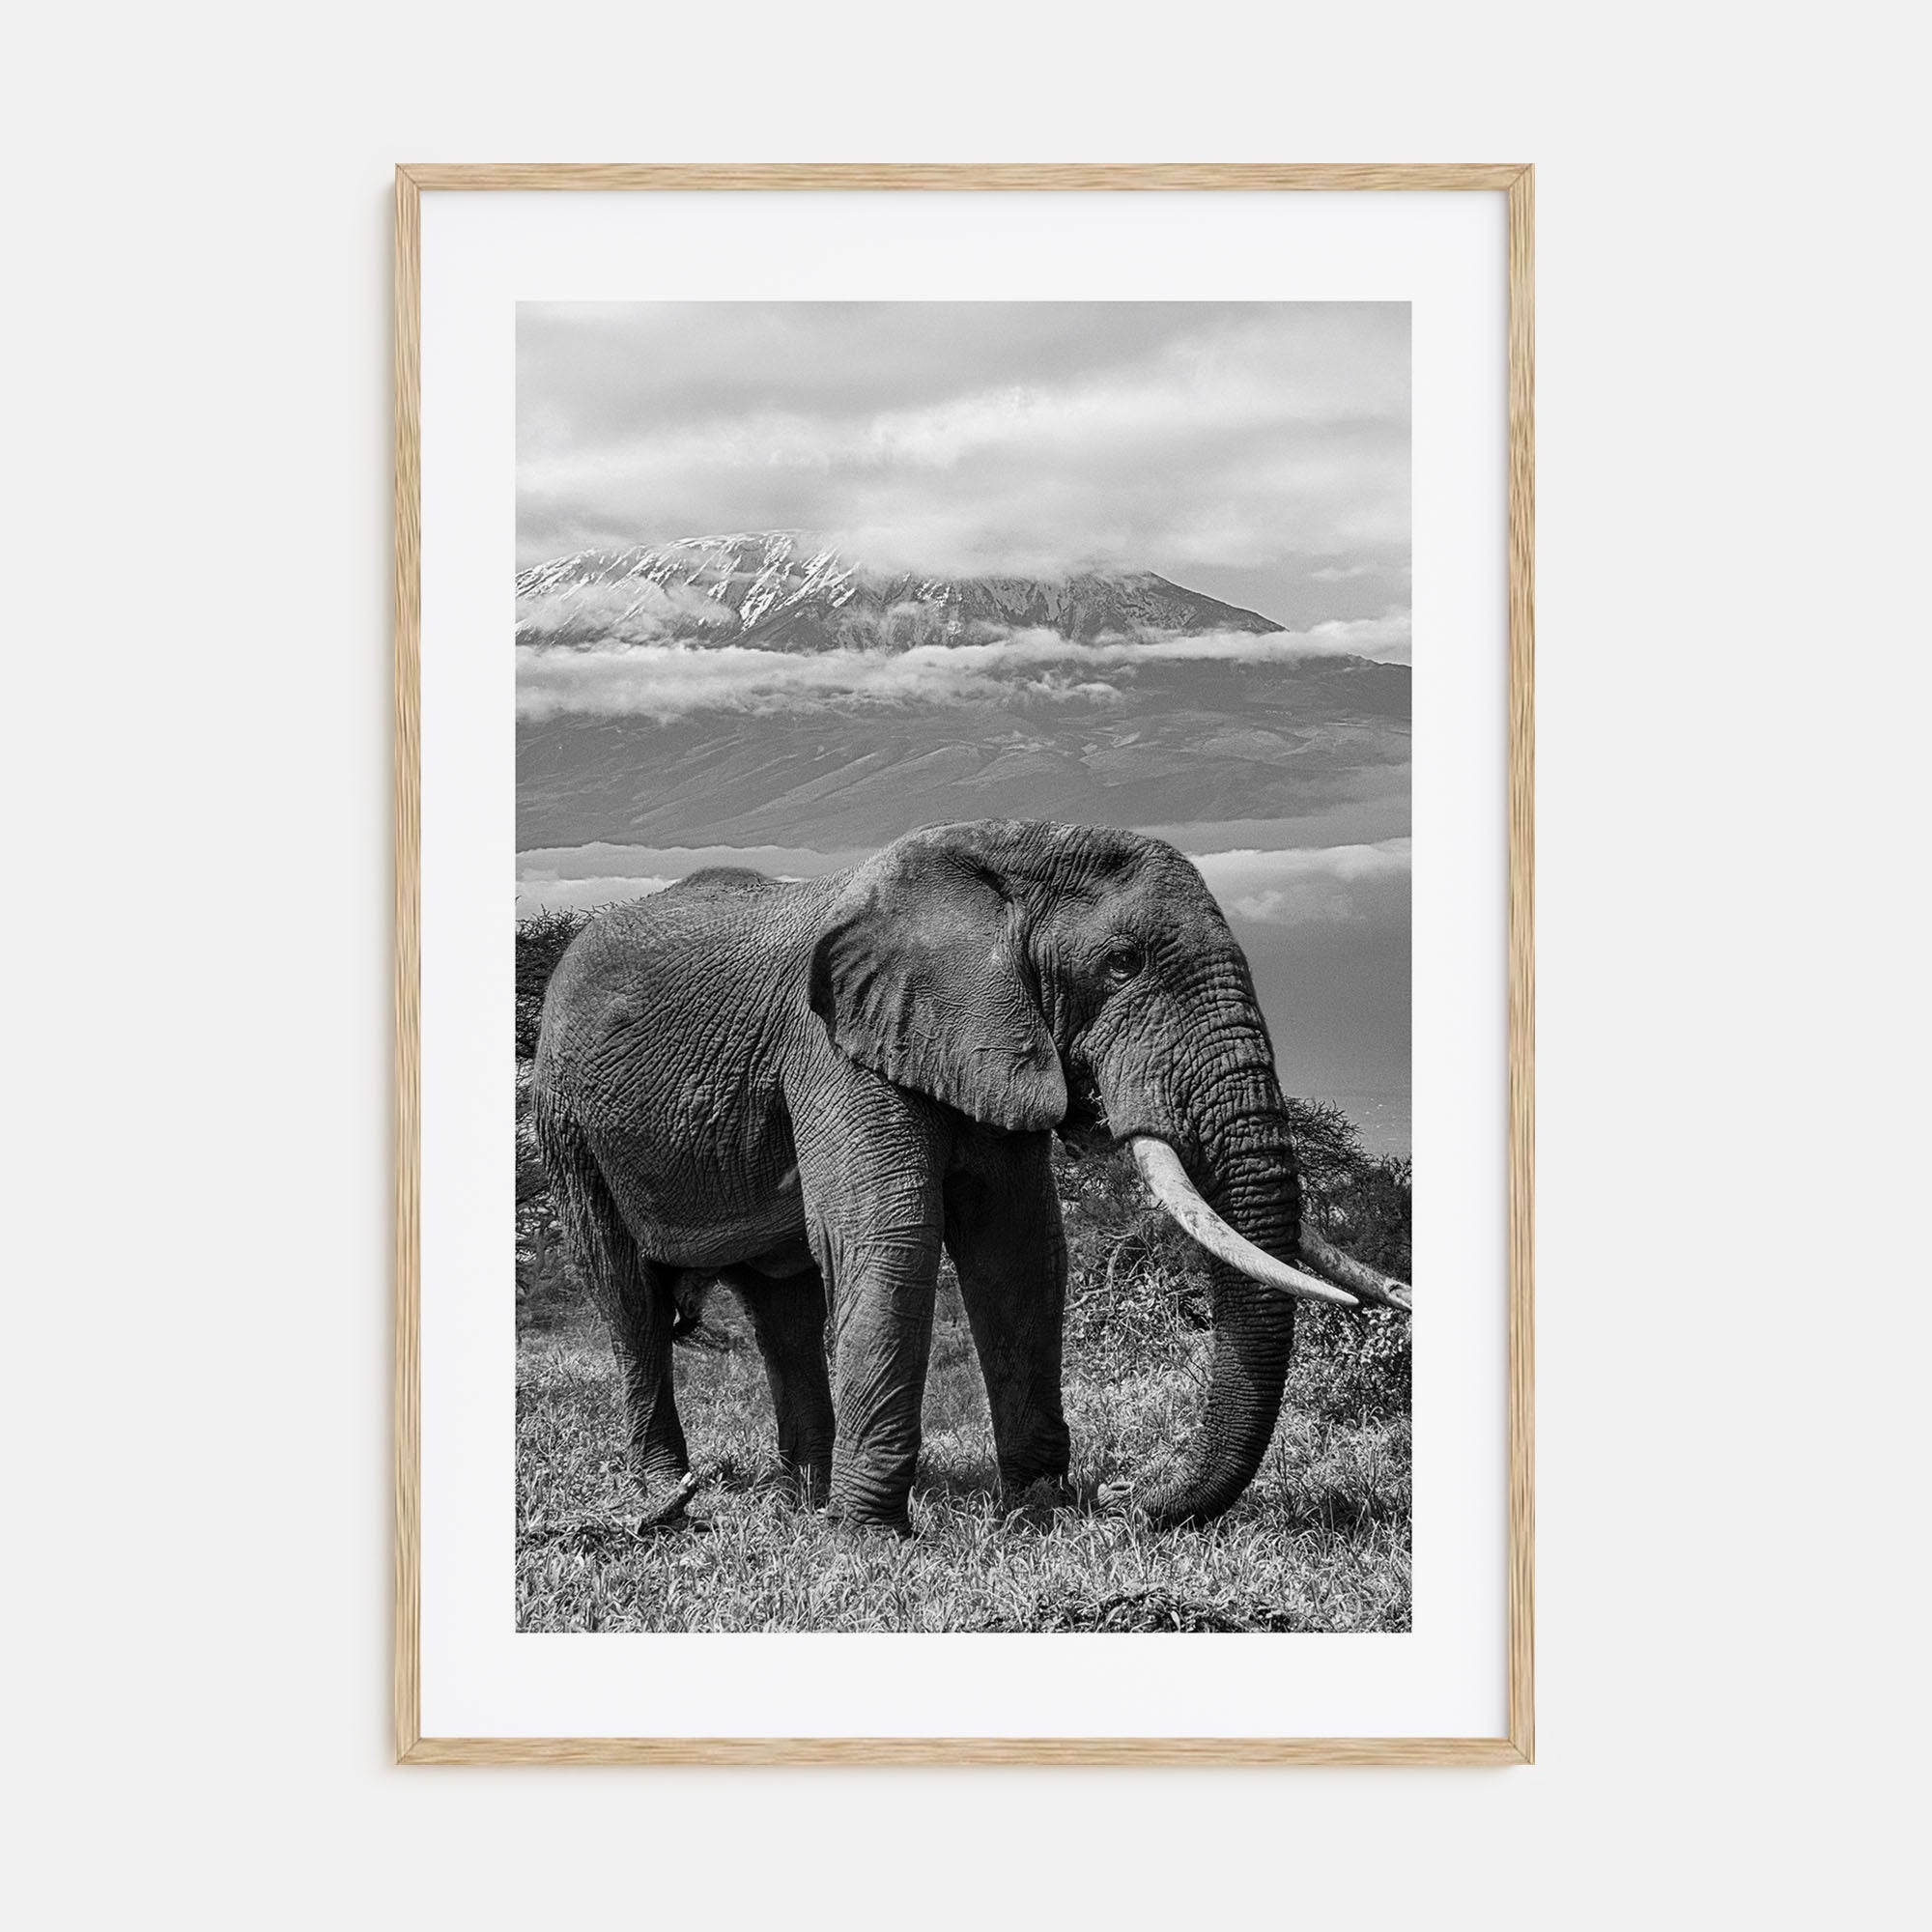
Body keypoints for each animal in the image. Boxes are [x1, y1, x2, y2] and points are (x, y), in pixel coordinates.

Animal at [533, 818, 1410, 1534]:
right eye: (1122, 965)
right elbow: (890, 1234)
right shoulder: (834, 1048)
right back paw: (671, 1496)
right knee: (627, 1295)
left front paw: (1036, 1515)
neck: (1003, 858)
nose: (1126, 1497)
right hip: (567, 1120)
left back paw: (801, 1503)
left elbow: (1018, 1248)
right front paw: (870, 1543)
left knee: (783, 1307)